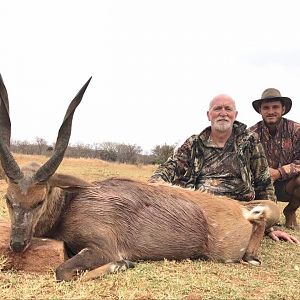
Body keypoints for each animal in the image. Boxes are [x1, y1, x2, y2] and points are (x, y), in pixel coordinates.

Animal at [0, 75, 276, 282]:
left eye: (40, 200)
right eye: (8, 199)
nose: (17, 243)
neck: (72, 203)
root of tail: (239, 211)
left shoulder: (103, 248)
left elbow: (63, 272)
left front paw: (123, 264)